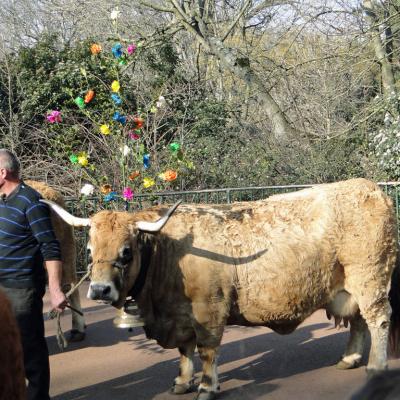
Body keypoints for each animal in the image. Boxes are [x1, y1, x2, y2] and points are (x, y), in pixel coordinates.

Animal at [41, 179, 400, 400]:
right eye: (90, 249)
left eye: (126, 252)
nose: (99, 290)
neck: (168, 252)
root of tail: (370, 188)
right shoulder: (179, 315)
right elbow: (184, 351)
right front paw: (182, 382)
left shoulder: (208, 310)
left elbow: (207, 351)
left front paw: (206, 386)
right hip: (350, 286)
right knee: (358, 322)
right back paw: (350, 358)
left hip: (370, 278)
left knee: (379, 320)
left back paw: (375, 366)